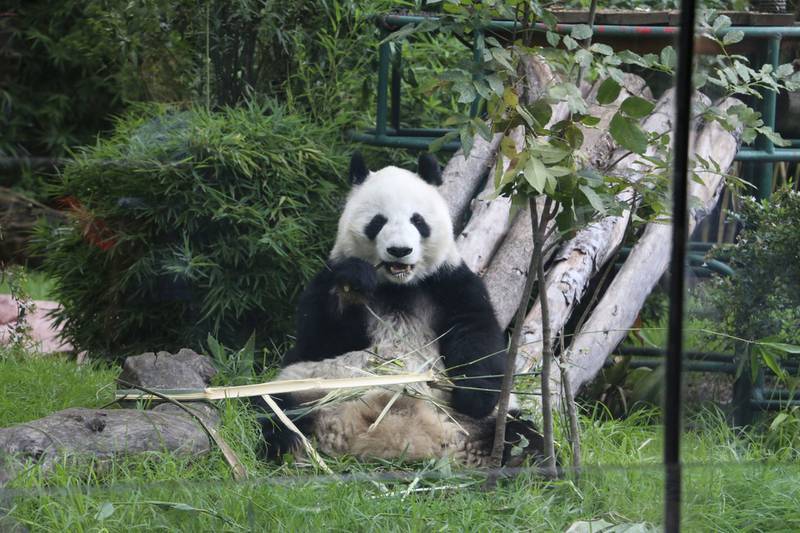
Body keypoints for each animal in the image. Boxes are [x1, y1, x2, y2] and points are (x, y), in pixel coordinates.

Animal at [254, 152, 543, 467]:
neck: (398, 287)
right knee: (272, 409)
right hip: (311, 385)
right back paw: (287, 446)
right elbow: (318, 338)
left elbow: (478, 333)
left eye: (418, 220)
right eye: (378, 222)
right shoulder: (329, 276)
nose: (399, 251)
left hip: (476, 420)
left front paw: (473, 395)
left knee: (523, 434)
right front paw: (355, 283)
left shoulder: (450, 282)